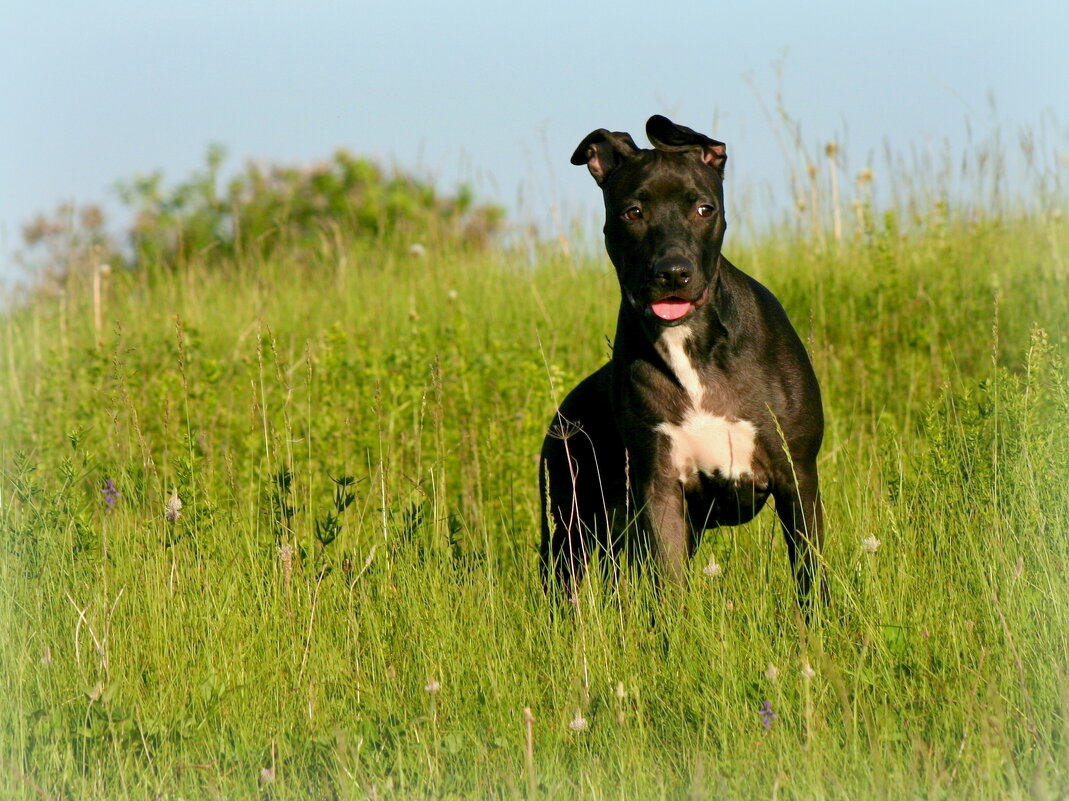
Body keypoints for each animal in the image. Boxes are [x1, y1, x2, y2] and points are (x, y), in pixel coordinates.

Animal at [538, 113, 820, 607]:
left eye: (704, 210)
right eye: (633, 212)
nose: (672, 272)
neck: (694, 346)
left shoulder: (797, 476)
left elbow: (810, 576)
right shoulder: (661, 488)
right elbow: (667, 586)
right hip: (574, 524)